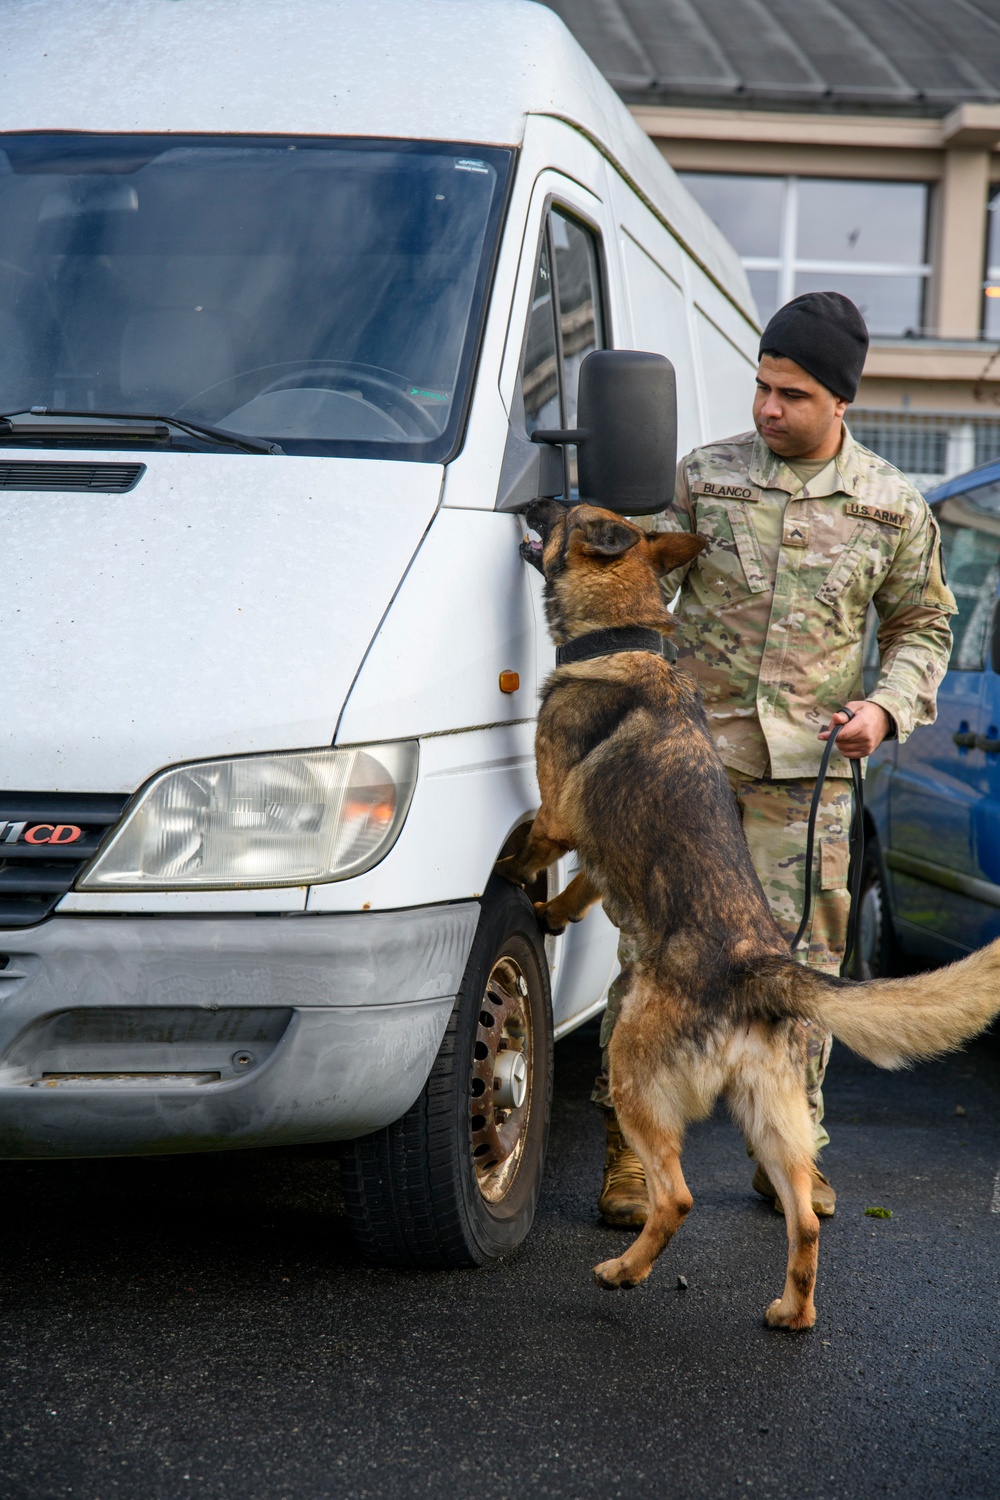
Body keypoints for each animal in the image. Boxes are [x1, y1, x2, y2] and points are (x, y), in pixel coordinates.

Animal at [503, 498, 1000, 1332]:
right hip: (774, 1116)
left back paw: (622, 1271)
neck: (625, 633)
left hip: (634, 1065)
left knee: (676, 1196)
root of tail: (757, 966)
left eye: (568, 508)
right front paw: (556, 912)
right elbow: (585, 890)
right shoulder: (595, 848)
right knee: (800, 1215)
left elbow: (526, 852)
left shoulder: (558, 816)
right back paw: (791, 1311)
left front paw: (514, 883)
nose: (531, 500)